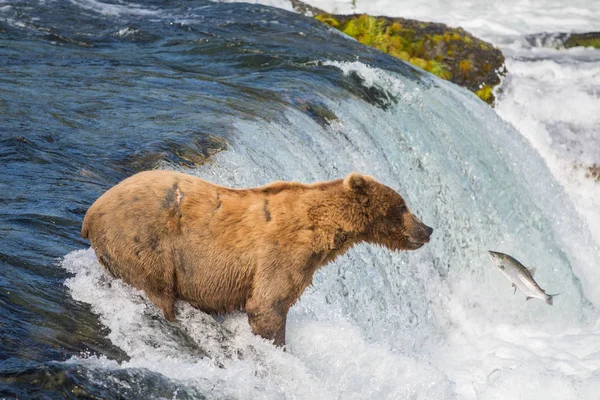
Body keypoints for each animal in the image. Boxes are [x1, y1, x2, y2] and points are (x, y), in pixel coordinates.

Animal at [82, 170, 434, 346]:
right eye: (403, 207)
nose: (428, 229)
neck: (325, 229)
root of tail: (91, 211)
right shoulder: (283, 253)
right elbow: (268, 305)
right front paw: (277, 346)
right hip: (142, 241)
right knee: (157, 291)